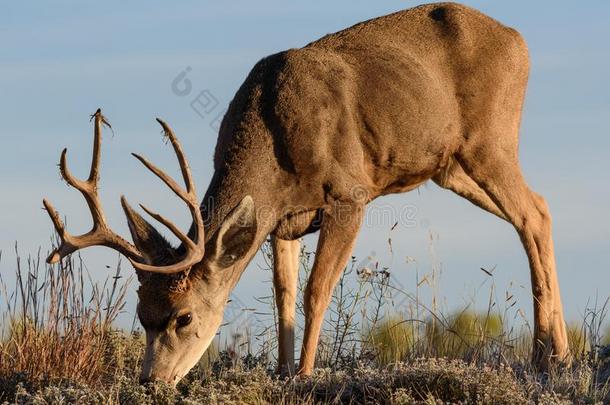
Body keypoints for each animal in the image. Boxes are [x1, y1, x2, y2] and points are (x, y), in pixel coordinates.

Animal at [45, 2, 568, 382]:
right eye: (141, 315)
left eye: (184, 317)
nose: (151, 380)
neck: (272, 132)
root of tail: (519, 41)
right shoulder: (281, 220)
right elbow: (283, 293)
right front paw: (281, 370)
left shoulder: (349, 195)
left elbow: (317, 289)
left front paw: (305, 374)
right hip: (450, 164)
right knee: (538, 211)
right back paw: (558, 353)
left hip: (491, 140)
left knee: (531, 214)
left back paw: (545, 356)